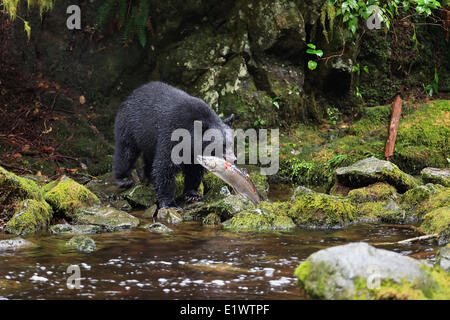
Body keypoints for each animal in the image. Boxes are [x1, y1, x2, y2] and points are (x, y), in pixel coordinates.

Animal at [113, 81, 236, 209]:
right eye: (221, 145)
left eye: (232, 143)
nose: (233, 159)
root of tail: (131, 95)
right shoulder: (172, 133)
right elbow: (165, 166)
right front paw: (169, 203)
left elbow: (194, 169)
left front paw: (191, 194)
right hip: (129, 126)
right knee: (126, 151)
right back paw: (123, 179)